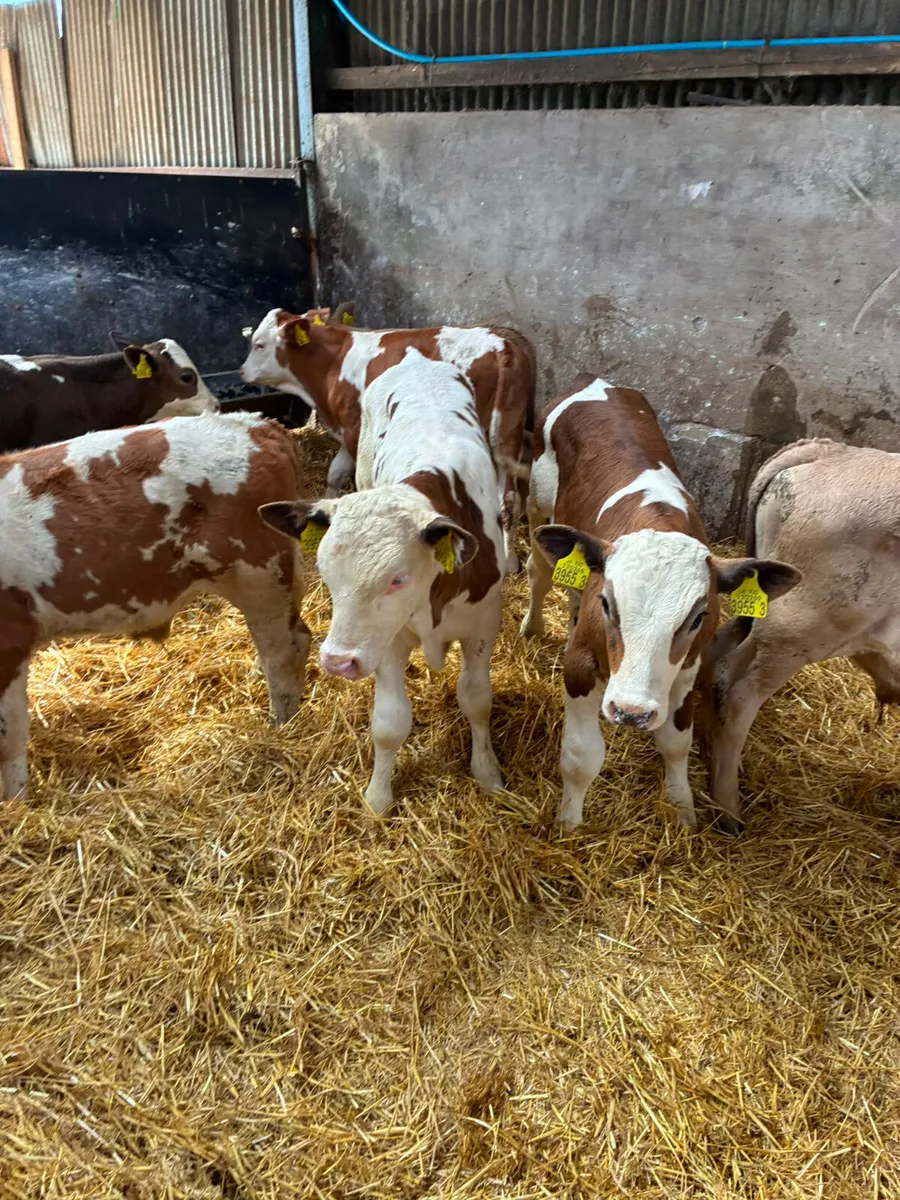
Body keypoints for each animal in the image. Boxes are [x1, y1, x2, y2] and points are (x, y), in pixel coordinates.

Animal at [0, 412, 309, 800]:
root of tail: (257, 425)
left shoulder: (10, 642)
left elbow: (8, 737)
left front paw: (16, 803)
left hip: (260, 577)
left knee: (283, 653)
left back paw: (280, 724)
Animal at [240, 301, 534, 573]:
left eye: (259, 345)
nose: (241, 371)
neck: (333, 363)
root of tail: (501, 344)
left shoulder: (355, 430)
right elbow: (335, 472)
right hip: (509, 432)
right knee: (509, 498)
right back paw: (510, 560)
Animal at [260, 348, 506, 815]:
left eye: (398, 579)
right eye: (326, 576)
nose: (338, 661)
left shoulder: (482, 626)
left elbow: (476, 699)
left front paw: (487, 771)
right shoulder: (386, 641)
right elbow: (390, 722)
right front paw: (378, 797)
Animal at [522, 373, 799, 831]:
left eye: (699, 616)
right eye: (608, 603)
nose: (631, 712)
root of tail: (594, 381)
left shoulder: (688, 669)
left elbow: (675, 743)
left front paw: (683, 811)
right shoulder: (581, 664)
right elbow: (582, 756)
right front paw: (569, 824)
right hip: (538, 506)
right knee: (539, 571)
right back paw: (532, 626)